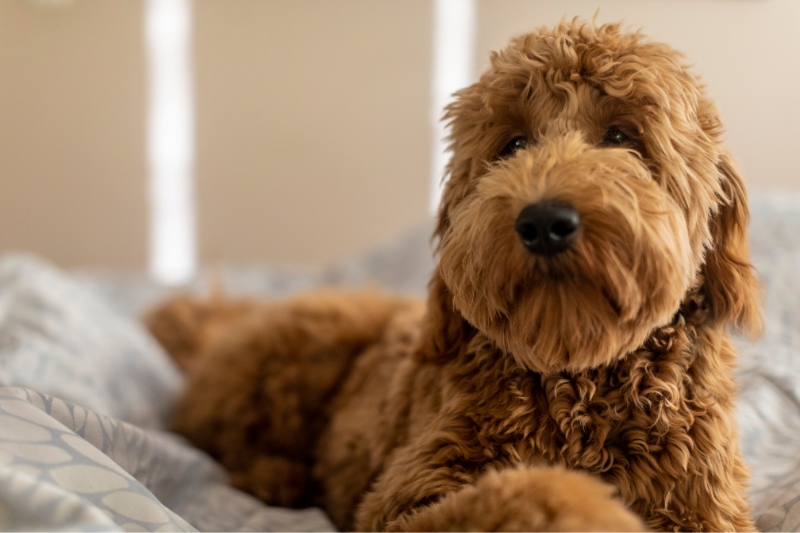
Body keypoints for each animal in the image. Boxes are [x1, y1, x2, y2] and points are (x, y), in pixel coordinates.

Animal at [145, 19, 764, 528]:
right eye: (513, 144)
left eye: (622, 136)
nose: (543, 221)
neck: (577, 384)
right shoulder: (405, 496)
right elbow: (528, 492)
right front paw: (590, 509)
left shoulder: (704, 507)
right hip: (305, 345)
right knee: (224, 441)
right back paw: (279, 477)